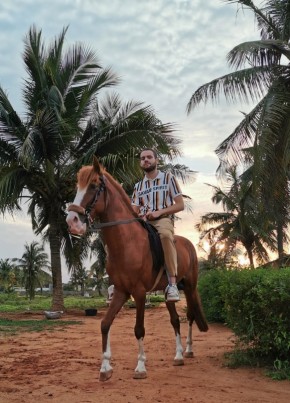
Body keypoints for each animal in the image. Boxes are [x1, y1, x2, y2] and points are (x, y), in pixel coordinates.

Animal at [66, 157, 208, 382]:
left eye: (94, 186)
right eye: (77, 187)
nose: (72, 222)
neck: (127, 243)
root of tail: (188, 244)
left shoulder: (139, 293)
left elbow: (139, 329)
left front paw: (140, 367)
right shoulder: (121, 291)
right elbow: (104, 324)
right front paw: (105, 368)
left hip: (190, 287)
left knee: (191, 316)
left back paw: (188, 350)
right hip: (168, 293)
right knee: (175, 320)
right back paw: (178, 356)